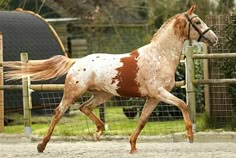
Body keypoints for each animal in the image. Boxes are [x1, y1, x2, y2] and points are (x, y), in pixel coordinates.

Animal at [4, 4, 218, 153]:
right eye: (197, 21)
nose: (214, 39)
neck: (160, 55)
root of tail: (76, 61)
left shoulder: (153, 98)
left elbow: (142, 121)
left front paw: (133, 146)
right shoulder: (159, 92)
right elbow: (183, 104)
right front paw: (190, 136)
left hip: (103, 95)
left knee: (85, 108)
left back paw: (98, 131)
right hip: (74, 92)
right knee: (59, 112)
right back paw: (41, 146)